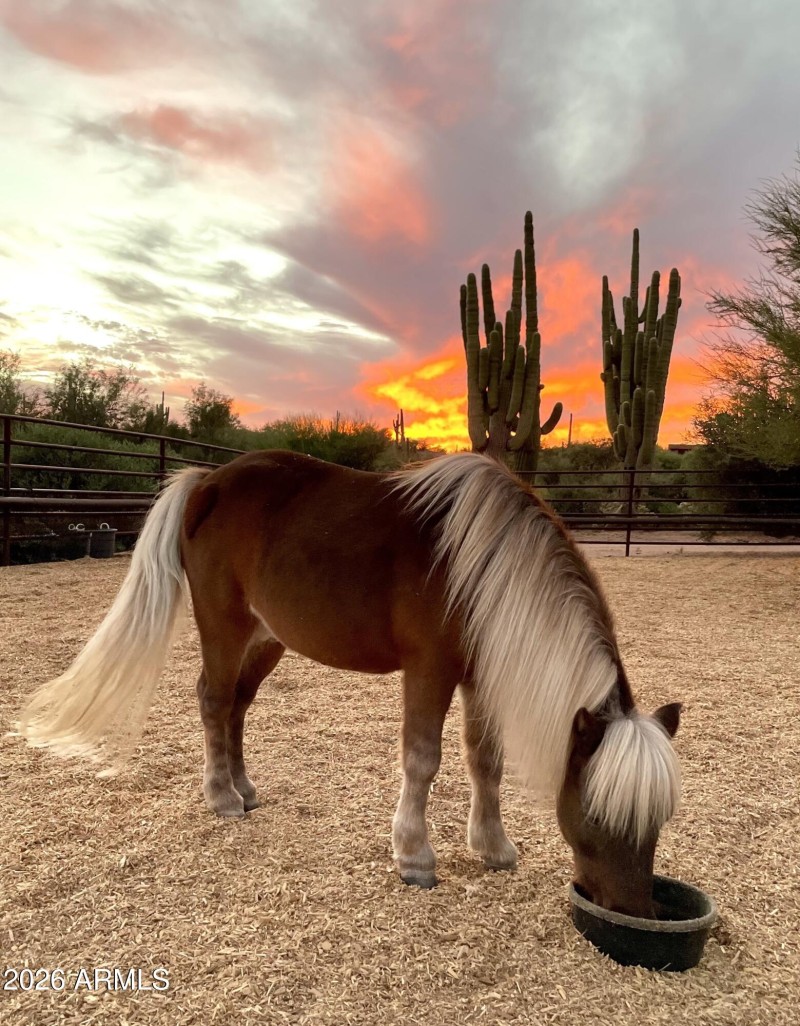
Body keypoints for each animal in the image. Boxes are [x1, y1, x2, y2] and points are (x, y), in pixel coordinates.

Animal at [18, 450, 682, 916]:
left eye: (659, 819)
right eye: (600, 812)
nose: (631, 908)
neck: (482, 563)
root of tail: (206, 482)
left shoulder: (479, 677)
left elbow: (484, 760)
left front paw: (492, 848)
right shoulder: (431, 670)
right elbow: (423, 759)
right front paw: (414, 856)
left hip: (267, 638)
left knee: (237, 706)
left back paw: (245, 788)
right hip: (225, 628)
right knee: (213, 700)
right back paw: (222, 797)